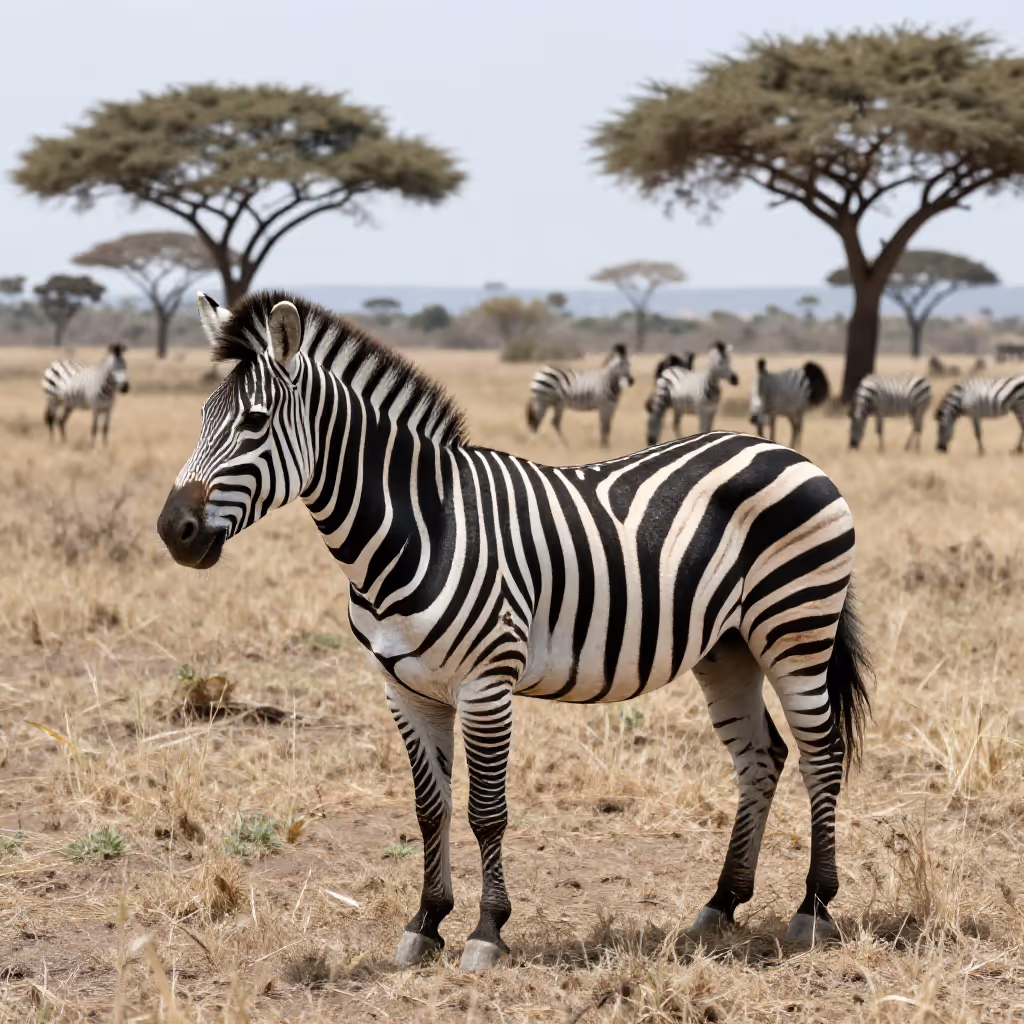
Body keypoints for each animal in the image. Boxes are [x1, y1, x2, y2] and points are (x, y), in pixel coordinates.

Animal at [158, 291, 871, 970]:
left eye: (254, 422)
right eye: (201, 417)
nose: (173, 531)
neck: (421, 527)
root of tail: (782, 449)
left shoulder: (486, 684)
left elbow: (486, 811)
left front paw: (486, 931)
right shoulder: (406, 690)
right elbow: (431, 809)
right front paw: (426, 923)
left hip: (796, 628)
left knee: (822, 754)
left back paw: (813, 909)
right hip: (728, 646)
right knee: (761, 757)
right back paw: (722, 904)